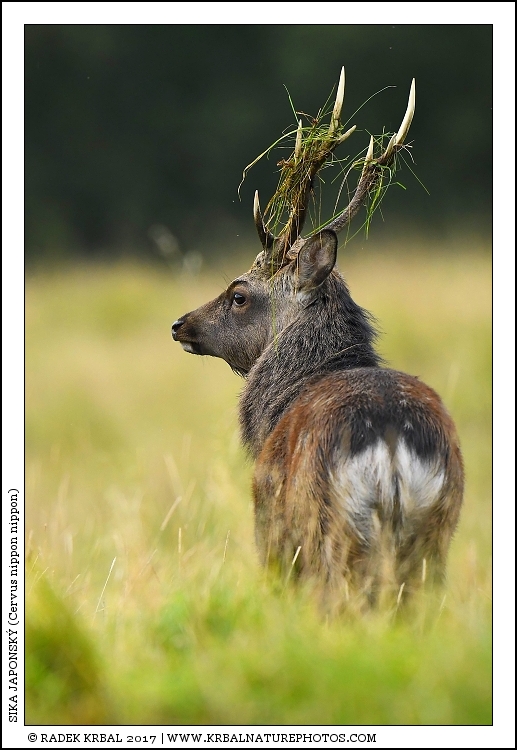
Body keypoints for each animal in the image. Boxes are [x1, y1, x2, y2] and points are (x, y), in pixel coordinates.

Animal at [171, 71, 464, 606]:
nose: (180, 324)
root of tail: (391, 447)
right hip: (436, 535)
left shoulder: (267, 515)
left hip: (325, 529)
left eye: (238, 294)